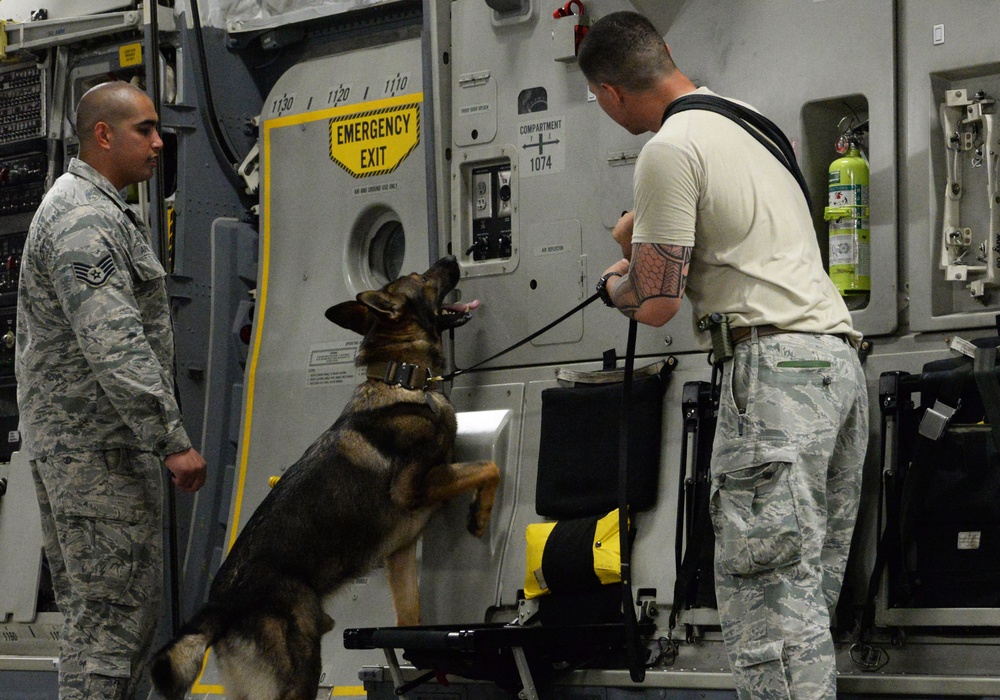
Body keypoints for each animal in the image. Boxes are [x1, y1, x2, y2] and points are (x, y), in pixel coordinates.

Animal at [151, 258, 500, 700]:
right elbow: (489, 468)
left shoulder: (400, 556)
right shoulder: (413, 486)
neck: (402, 377)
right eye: (422, 278)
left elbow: (410, 620)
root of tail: (218, 608)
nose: (454, 259)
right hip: (300, 669)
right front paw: (479, 516)